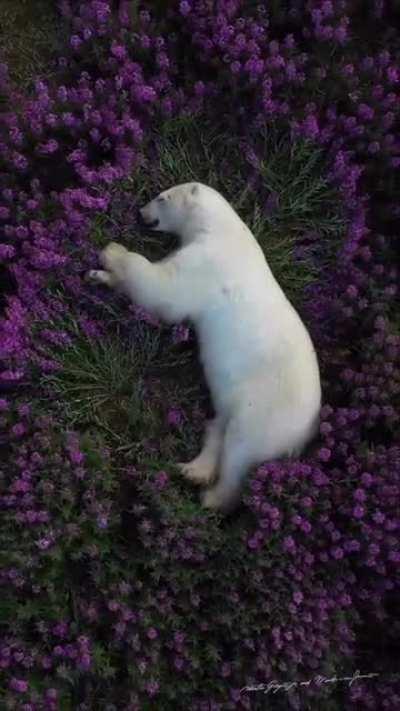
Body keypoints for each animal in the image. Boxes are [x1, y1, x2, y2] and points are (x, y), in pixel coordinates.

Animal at [87, 182, 321, 511]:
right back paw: (192, 469)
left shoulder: (207, 263)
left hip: (265, 413)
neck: (222, 230)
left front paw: (111, 253)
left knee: (239, 453)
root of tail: (307, 433)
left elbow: (164, 289)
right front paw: (98, 276)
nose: (141, 213)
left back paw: (212, 497)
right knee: (218, 427)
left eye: (162, 197)